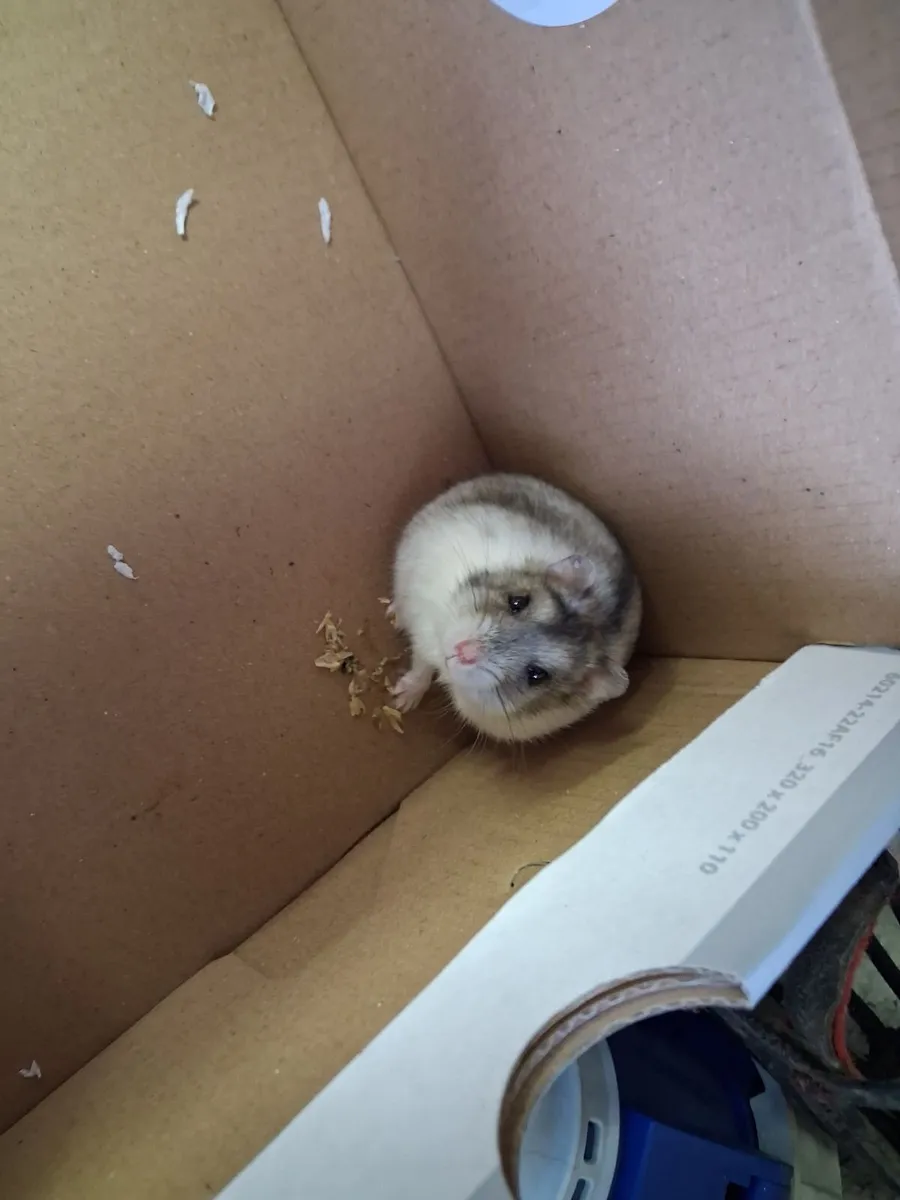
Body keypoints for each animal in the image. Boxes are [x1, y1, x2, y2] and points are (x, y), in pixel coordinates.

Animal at [389, 473, 641, 743]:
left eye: (536, 675)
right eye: (517, 601)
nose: (462, 650)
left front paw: (400, 701)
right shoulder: (424, 628)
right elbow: (421, 664)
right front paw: (400, 700)